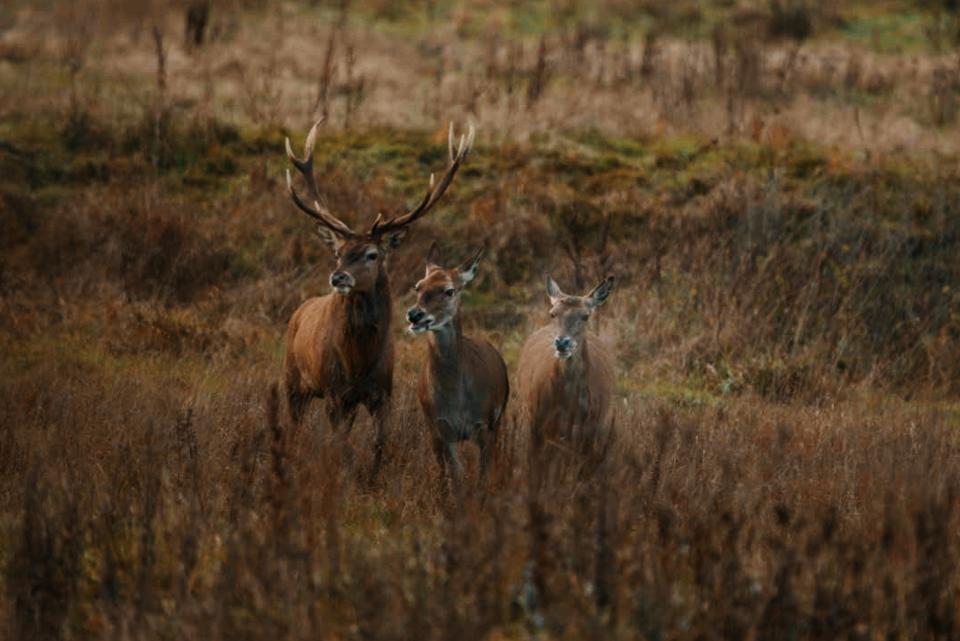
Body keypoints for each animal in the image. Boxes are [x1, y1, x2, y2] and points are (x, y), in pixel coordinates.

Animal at [284, 119, 478, 470]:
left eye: (372, 254)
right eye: (339, 253)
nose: (338, 276)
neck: (359, 360)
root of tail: (298, 312)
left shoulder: (382, 393)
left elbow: (380, 446)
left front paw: (371, 475)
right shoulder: (335, 393)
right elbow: (343, 447)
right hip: (292, 380)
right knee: (294, 427)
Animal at [404, 242, 510, 478]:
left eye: (449, 290)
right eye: (418, 286)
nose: (415, 315)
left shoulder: (484, 425)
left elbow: (482, 478)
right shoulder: (439, 428)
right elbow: (454, 478)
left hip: (498, 420)